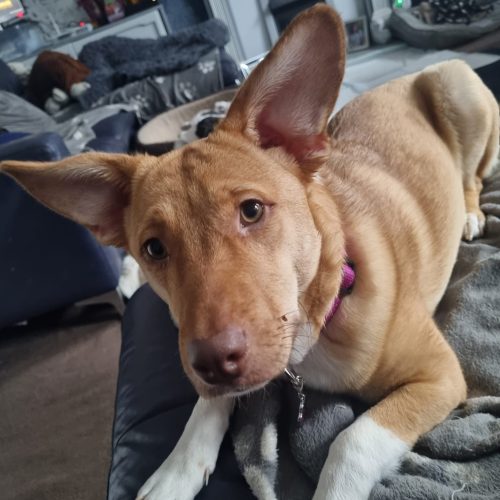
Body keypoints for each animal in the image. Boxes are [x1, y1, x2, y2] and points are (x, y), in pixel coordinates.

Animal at [1, 4, 498, 500]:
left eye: (252, 210)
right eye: (154, 247)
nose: (214, 364)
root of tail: (404, 76)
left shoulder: (439, 375)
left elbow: (351, 442)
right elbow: (206, 405)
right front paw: (177, 468)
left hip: (456, 88)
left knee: (473, 174)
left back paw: (472, 213)